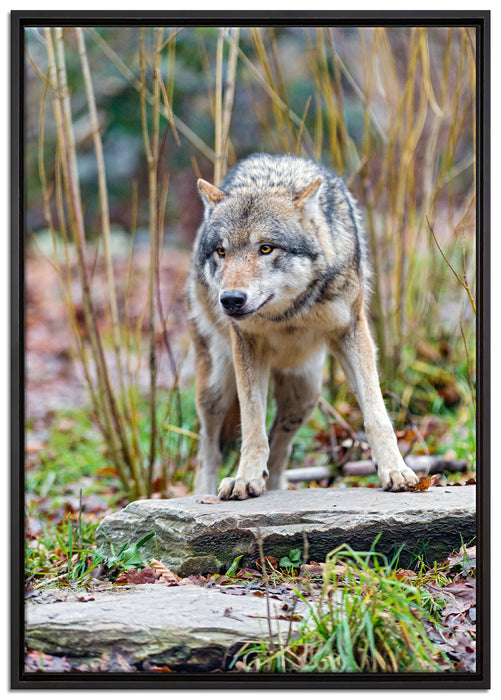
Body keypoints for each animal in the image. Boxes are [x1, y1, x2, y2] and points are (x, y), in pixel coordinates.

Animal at [186, 153, 418, 500]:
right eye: (221, 251)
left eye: (266, 248)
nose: (230, 300)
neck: (289, 315)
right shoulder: (247, 345)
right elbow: (252, 425)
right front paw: (244, 478)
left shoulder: (352, 333)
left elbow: (377, 414)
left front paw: (395, 471)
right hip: (215, 389)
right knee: (208, 450)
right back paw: (206, 492)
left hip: (304, 396)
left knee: (280, 452)